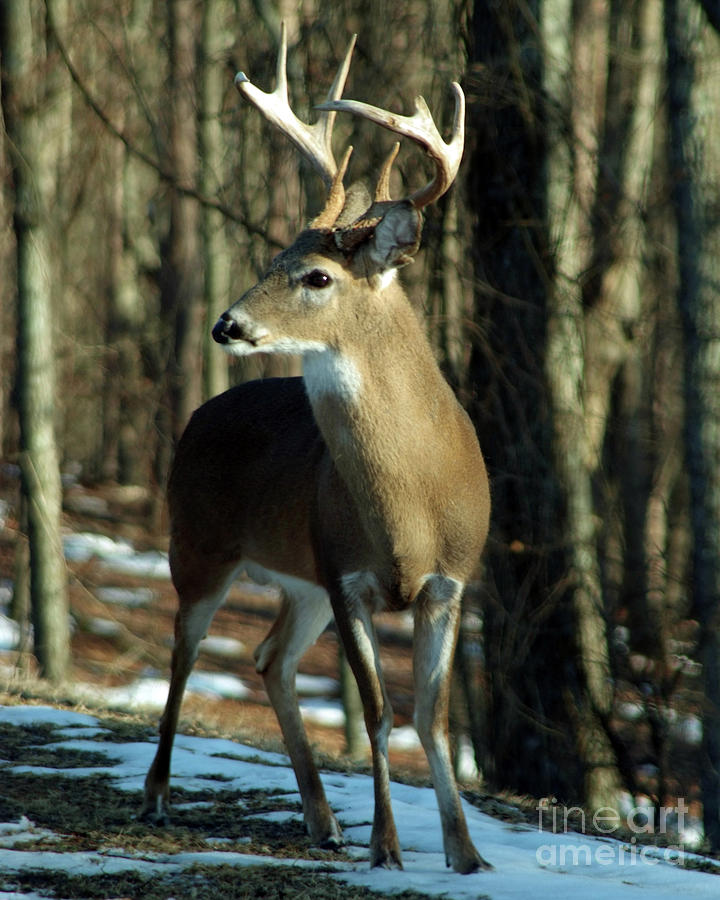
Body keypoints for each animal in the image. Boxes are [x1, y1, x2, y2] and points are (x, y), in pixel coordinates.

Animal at [142, 26, 490, 872]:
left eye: (316, 275)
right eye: (270, 260)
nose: (227, 324)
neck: (411, 506)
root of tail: (199, 413)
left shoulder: (448, 583)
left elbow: (431, 718)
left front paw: (467, 854)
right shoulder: (346, 573)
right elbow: (377, 712)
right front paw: (388, 848)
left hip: (296, 584)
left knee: (270, 658)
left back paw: (322, 818)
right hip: (197, 544)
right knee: (184, 650)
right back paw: (158, 793)